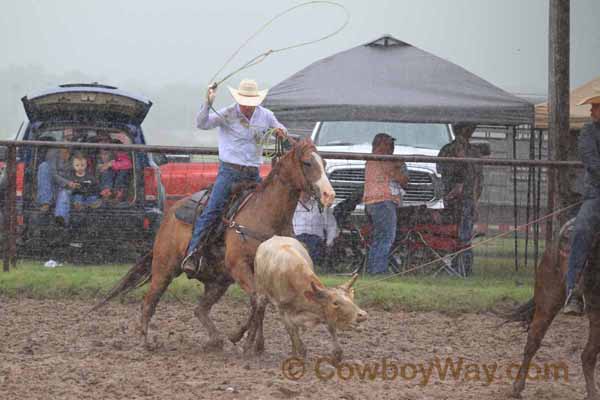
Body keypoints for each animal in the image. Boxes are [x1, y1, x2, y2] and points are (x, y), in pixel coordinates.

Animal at [96, 138, 336, 354]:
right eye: (307, 163)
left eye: (324, 163)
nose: (329, 194)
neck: (265, 214)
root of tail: (170, 214)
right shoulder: (239, 265)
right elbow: (258, 299)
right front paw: (245, 341)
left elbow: (262, 302)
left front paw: (253, 342)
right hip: (164, 269)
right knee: (149, 301)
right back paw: (147, 343)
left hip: (219, 281)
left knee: (200, 309)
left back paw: (215, 340)